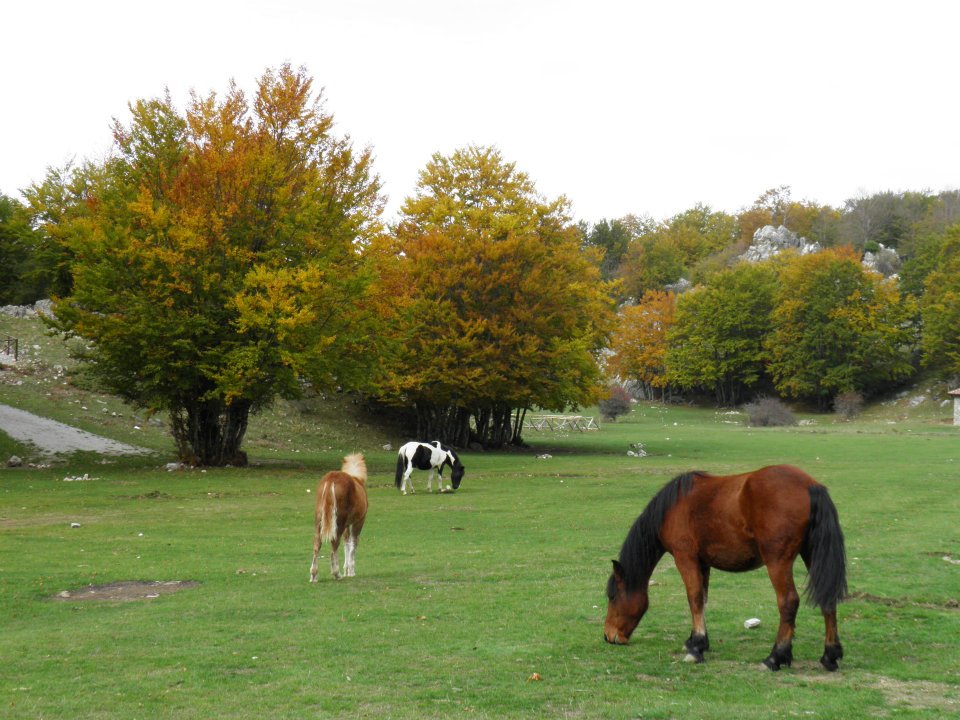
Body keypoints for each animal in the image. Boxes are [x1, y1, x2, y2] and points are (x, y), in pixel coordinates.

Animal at [312, 452, 368, 584]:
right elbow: (353, 543)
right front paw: (351, 571)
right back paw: (336, 573)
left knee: (317, 544)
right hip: (339, 521)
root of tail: (331, 478)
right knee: (334, 543)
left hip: (320, 521)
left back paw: (314, 575)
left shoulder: (347, 524)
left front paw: (347, 569)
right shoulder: (359, 522)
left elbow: (346, 543)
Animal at [608, 464, 848, 672]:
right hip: (812, 554)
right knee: (827, 599)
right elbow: (702, 600)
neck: (672, 507)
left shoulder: (685, 559)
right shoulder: (702, 563)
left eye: (612, 596)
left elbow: (694, 599)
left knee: (788, 602)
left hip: (777, 562)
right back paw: (830, 655)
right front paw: (696, 641)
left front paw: (696, 649)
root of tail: (810, 485)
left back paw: (775, 657)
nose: (608, 636)